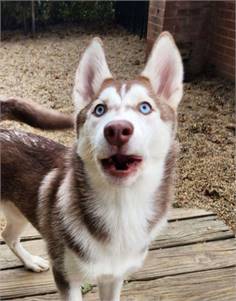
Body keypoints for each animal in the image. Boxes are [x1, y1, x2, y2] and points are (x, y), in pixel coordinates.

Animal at [0, 32, 183, 300]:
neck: (120, 209)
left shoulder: (114, 277)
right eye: (99, 109)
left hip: (20, 210)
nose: (117, 129)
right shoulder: (67, 278)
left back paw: (31, 261)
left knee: (8, 236)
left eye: (145, 107)